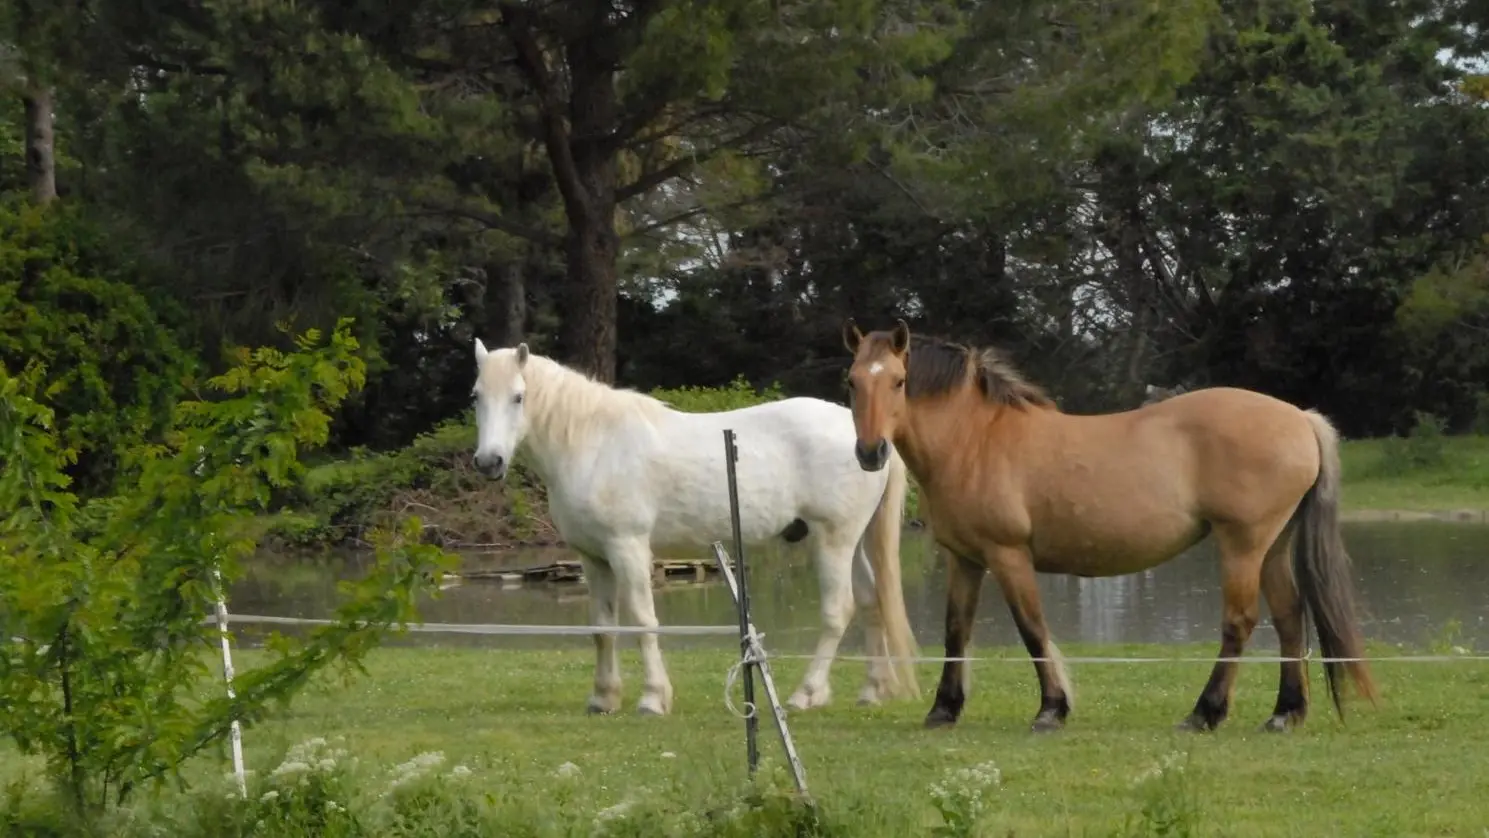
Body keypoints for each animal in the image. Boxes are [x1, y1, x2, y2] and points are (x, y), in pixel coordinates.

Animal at [473, 337, 917, 717]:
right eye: (476, 396)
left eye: (518, 397)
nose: (489, 462)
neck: (594, 444)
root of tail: (867, 438)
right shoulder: (593, 558)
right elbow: (603, 628)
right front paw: (603, 698)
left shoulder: (627, 549)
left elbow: (642, 620)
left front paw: (653, 698)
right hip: (853, 542)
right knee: (871, 601)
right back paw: (872, 690)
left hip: (833, 540)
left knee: (838, 610)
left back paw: (806, 693)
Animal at [845, 321, 1375, 735]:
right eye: (852, 382)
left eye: (899, 381)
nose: (870, 452)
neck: (975, 439)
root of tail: (1300, 418)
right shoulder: (966, 560)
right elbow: (956, 631)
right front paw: (944, 708)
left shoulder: (1008, 555)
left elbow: (1032, 628)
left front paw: (1051, 709)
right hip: (1272, 546)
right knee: (1289, 617)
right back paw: (1285, 713)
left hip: (1242, 544)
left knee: (1239, 622)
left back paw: (1204, 713)